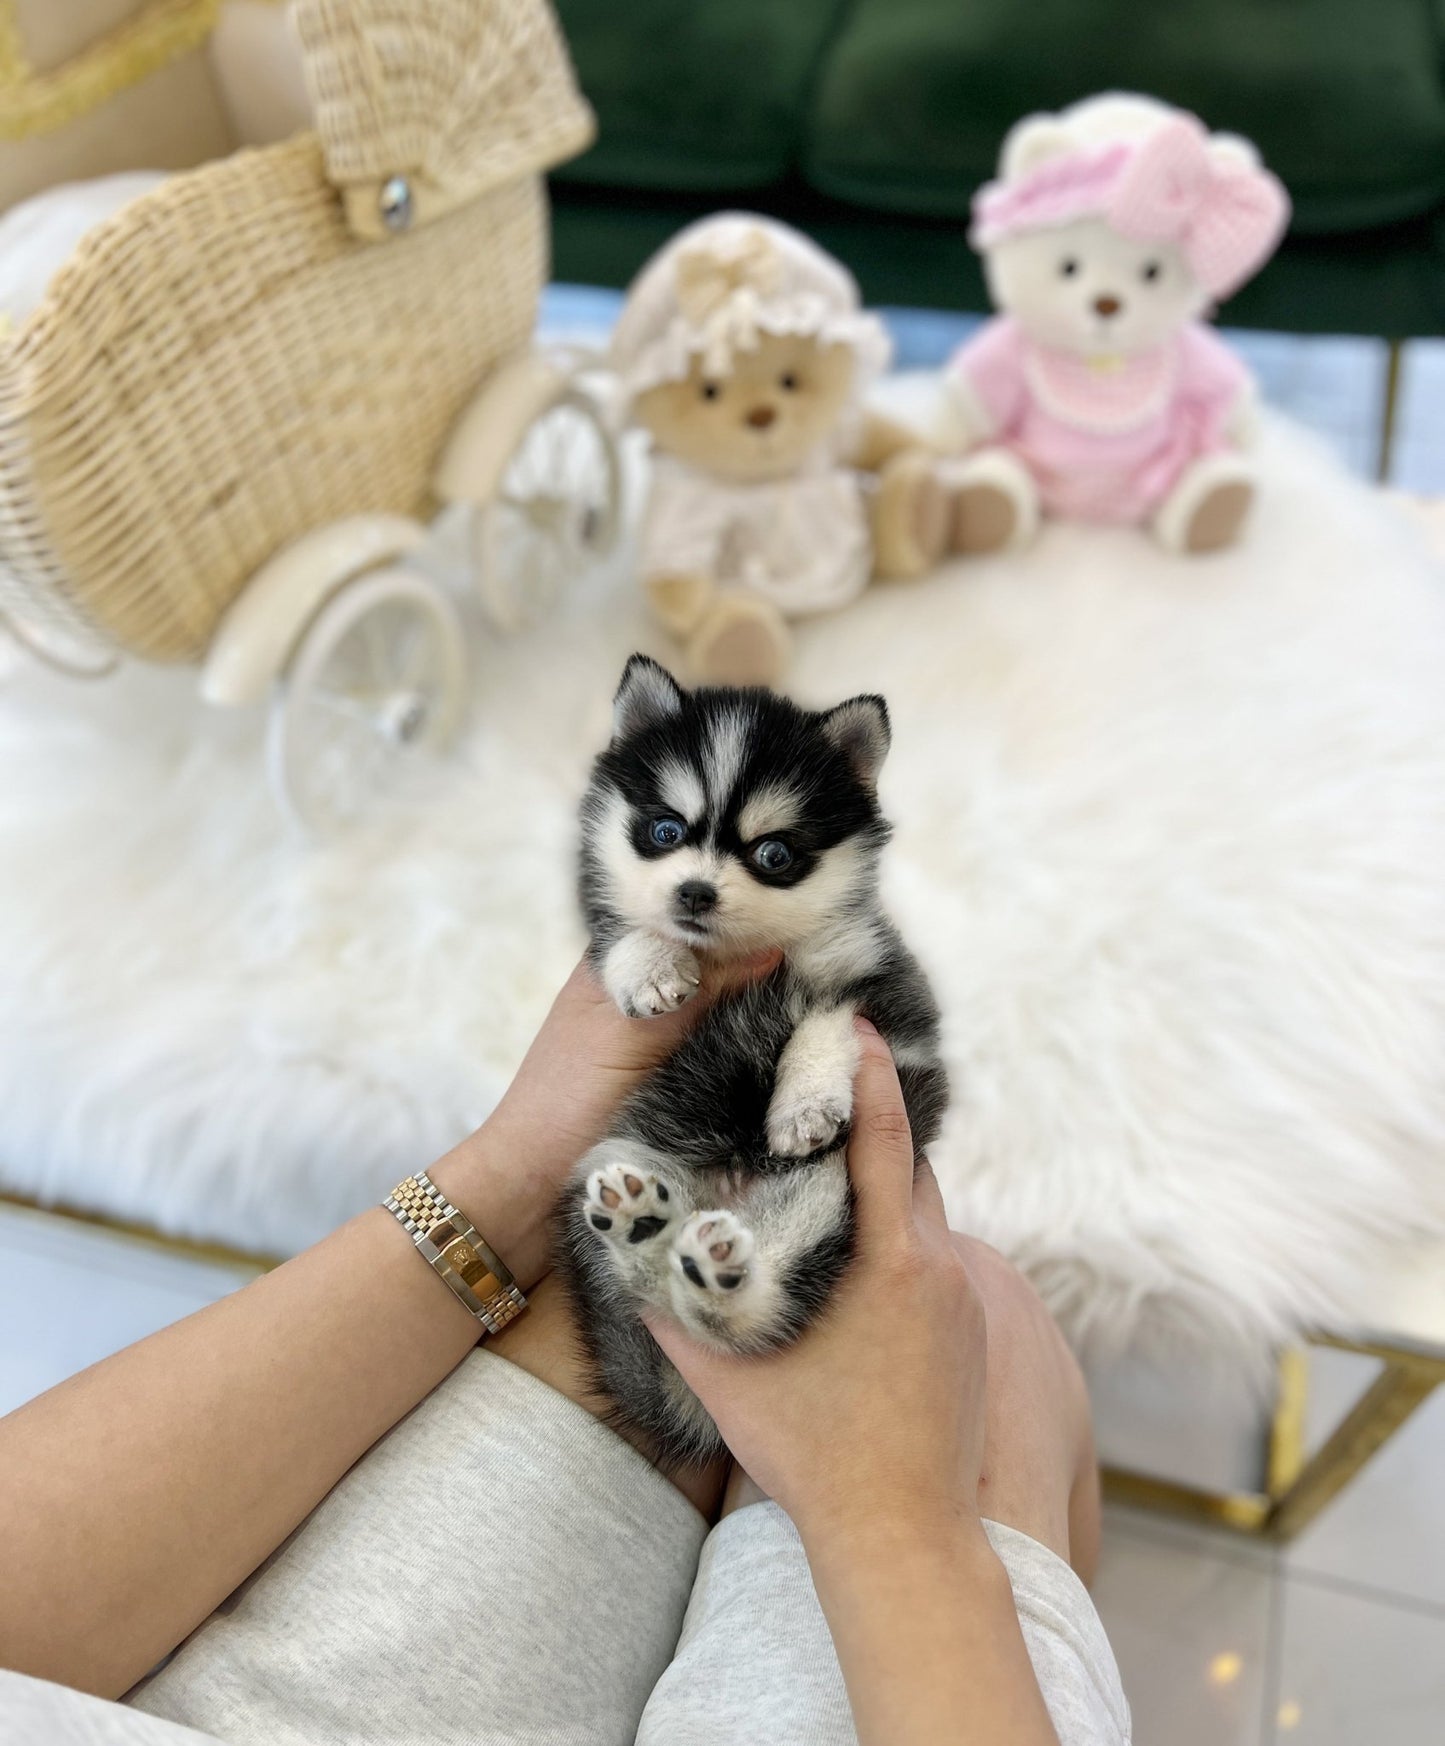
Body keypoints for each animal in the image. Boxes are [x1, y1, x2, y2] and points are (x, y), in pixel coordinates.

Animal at [558, 656, 956, 1459]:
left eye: (773, 854)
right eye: (664, 830)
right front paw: (650, 966)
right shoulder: (602, 924)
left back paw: (713, 1276)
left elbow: (828, 1020)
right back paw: (644, 1230)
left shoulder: (890, 995)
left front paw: (803, 1105)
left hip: (829, 1195)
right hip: (611, 1162)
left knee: (746, 1315)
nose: (694, 892)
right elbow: (620, 932)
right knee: (655, 1282)